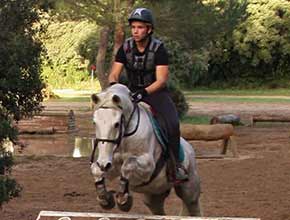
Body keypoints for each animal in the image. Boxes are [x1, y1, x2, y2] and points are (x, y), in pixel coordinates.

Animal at [90, 83, 202, 216]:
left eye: (116, 124)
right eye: (94, 123)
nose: (103, 163)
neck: (124, 138)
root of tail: (189, 148)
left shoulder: (148, 165)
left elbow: (128, 165)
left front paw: (123, 200)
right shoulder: (111, 165)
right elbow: (95, 169)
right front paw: (104, 198)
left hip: (189, 189)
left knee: (193, 206)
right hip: (154, 195)